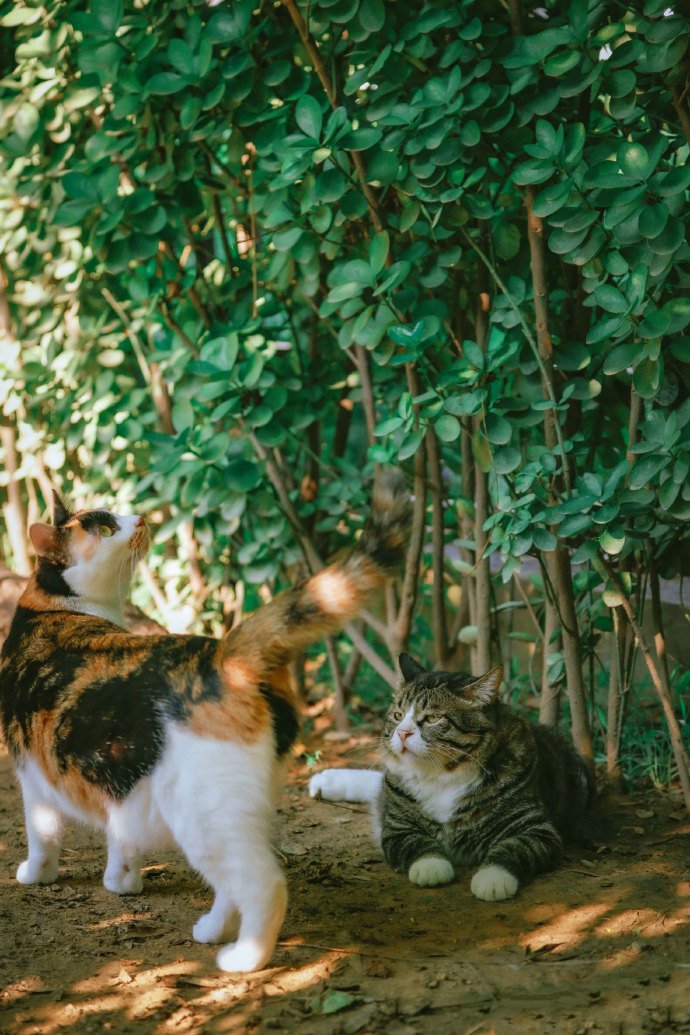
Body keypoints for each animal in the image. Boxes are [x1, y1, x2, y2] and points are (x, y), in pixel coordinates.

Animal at [0, 474, 409, 972]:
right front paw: (122, 881)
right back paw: (213, 930)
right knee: (232, 884)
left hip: (201, 814)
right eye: (103, 527)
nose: (141, 518)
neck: (58, 605)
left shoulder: (32, 778)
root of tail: (224, 653)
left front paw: (34, 875)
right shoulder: (120, 782)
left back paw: (244, 957)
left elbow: (43, 836)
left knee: (262, 885)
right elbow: (122, 837)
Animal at [310, 654, 591, 898]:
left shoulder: (537, 828)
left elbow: (516, 847)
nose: (402, 733)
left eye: (433, 718)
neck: (441, 775)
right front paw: (432, 867)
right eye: (398, 715)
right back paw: (325, 780)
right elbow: (415, 842)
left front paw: (493, 878)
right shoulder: (397, 827)